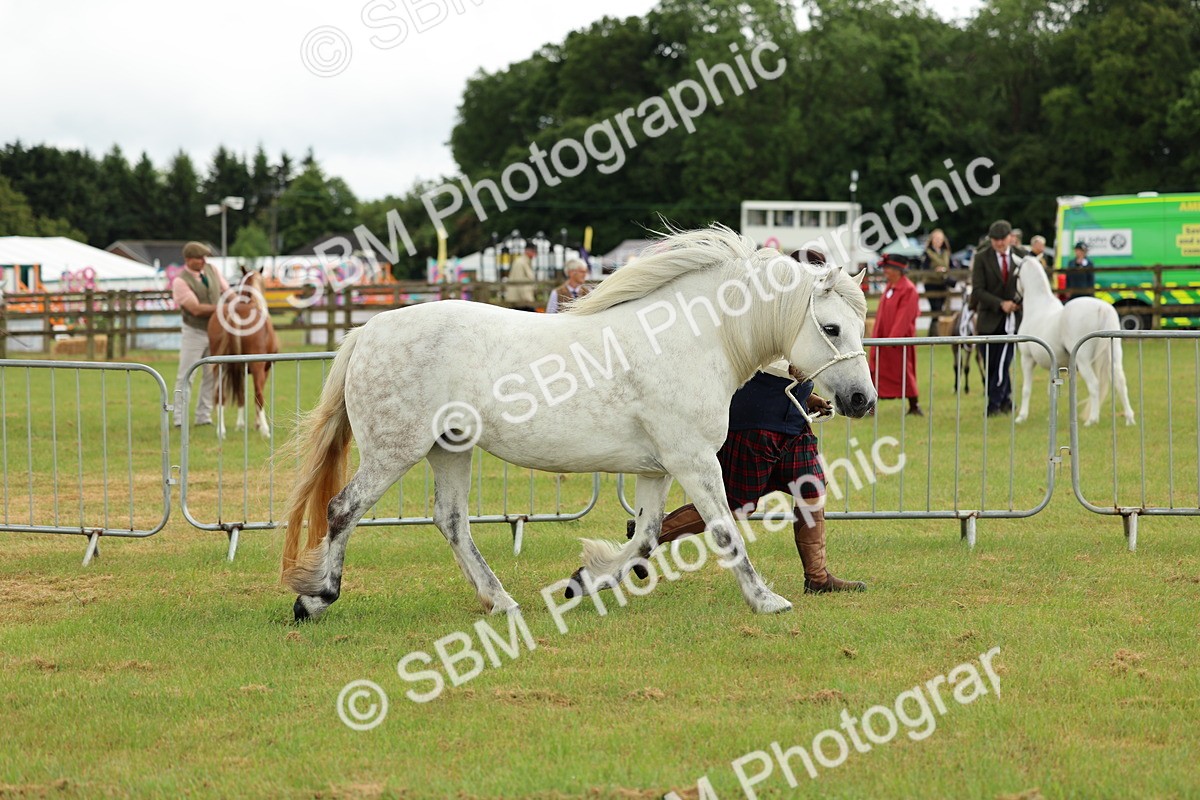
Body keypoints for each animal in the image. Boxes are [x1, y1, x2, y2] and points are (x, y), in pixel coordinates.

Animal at [208, 269, 279, 438]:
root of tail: (237, 311)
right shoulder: (265, 369)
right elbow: (256, 396)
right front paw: (258, 424)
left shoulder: (240, 369)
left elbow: (241, 395)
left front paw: (240, 425)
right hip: (258, 366)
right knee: (259, 394)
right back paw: (265, 430)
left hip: (219, 366)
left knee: (220, 394)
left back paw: (221, 431)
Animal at [279, 225, 877, 622]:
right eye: (830, 327)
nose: (862, 400)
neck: (691, 339)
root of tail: (369, 330)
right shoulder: (693, 460)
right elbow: (725, 530)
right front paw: (766, 600)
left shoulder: (658, 469)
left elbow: (646, 537)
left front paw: (583, 581)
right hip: (393, 451)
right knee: (343, 508)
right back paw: (315, 599)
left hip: (450, 449)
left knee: (450, 522)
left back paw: (501, 601)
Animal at [1013, 254, 1135, 426]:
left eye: (1015, 275)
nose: (1014, 298)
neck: (1038, 308)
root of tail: (1102, 308)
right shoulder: (1054, 364)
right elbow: (1052, 390)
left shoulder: (1027, 359)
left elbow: (1026, 389)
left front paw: (1021, 417)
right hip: (1115, 356)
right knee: (1120, 382)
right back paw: (1129, 418)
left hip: (1083, 361)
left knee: (1094, 385)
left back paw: (1092, 420)